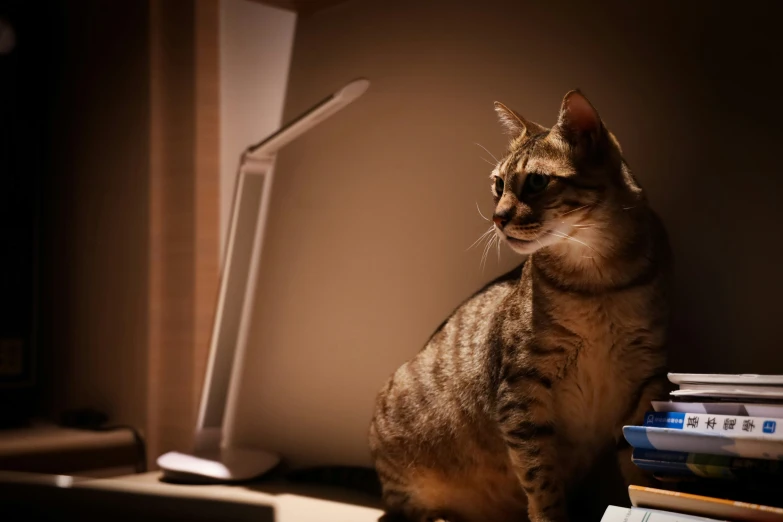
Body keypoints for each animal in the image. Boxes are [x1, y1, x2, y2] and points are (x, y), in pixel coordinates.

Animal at [370, 90, 672, 520]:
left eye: (536, 181)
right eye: (498, 185)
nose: (496, 218)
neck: (598, 279)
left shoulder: (645, 380)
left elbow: (638, 471)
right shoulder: (521, 389)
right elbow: (540, 477)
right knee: (402, 510)